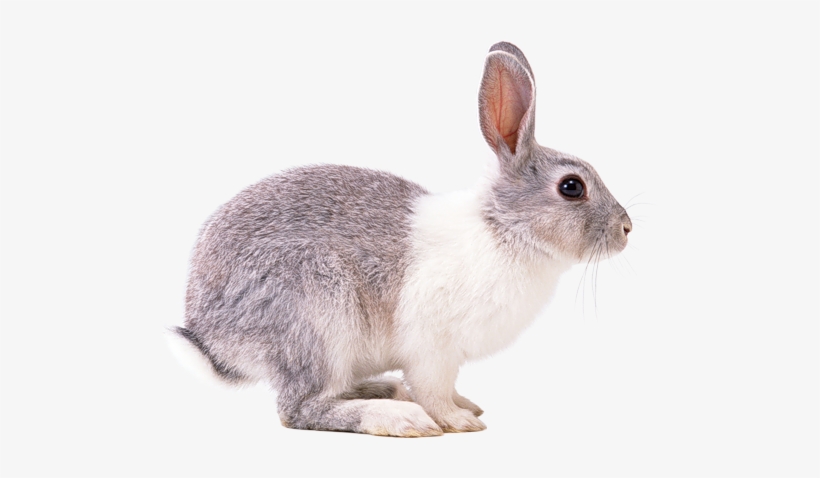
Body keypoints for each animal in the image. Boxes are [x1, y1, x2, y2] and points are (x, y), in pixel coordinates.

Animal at [169, 41, 632, 437]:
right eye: (571, 187)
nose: (627, 229)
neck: (504, 227)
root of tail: (212, 339)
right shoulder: (432, 349)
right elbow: (434, 389)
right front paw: (459, 420)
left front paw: (466, 405)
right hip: (317, 315)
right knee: (300, 407)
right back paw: (398, 417)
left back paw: (389, 391)